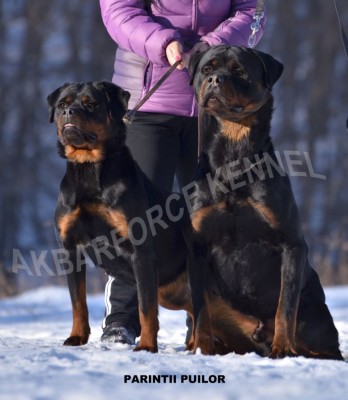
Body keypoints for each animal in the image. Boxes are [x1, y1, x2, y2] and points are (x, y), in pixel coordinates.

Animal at [47, 80, 213, 354]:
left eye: (91, 104)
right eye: (62, 104)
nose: (68, 112)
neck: (89, 170)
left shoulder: (140, 251)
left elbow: (146, 308)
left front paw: (146, 346)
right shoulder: (70, 249)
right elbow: (77, 302)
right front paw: (76, 336)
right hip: (171, 290)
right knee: (194, 309)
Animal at [188, 46, 342, 360]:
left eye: (240, 71)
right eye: (207, 69)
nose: (215, 80)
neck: (233, 155)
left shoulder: (291, 243)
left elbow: (286, 304)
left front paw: (282, 348)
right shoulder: (197, 245)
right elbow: (200, 309)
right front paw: (200, 347)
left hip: (315, 317)